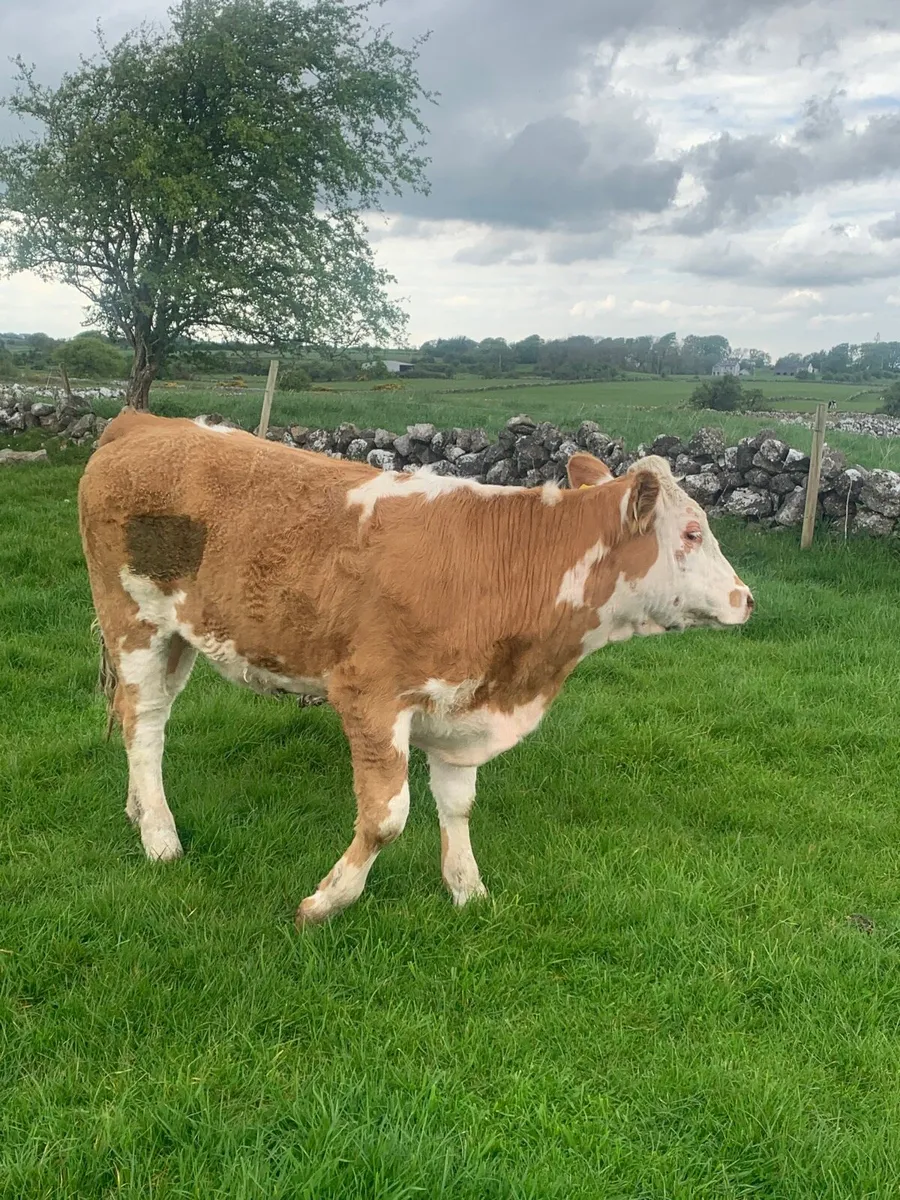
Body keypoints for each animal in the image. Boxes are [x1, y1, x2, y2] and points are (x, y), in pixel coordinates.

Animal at [78, 410, 754, 925]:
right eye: (692, 533)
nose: (746, 598)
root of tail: (145, 422)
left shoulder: (463, 708)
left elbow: (458, 806)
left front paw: (467, 888)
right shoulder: (368, 694)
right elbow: (387, 818)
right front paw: (325, 903)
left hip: (179, 635)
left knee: (146, 719)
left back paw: (139, 811)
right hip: (133, 619)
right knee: (145, 723)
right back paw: (161, 839)